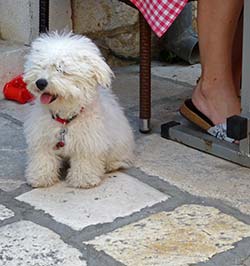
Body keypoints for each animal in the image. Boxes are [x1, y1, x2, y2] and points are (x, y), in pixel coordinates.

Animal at [23, 32, 135, 188]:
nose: (40, 82)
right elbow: (43, 157)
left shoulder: (88, 141)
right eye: (41, 66)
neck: (65, 119)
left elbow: (85, 160)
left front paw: (84, 179)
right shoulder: (42, 138)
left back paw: (113, 164)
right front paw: (40, 177)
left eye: (60, 69)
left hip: (120, 142)